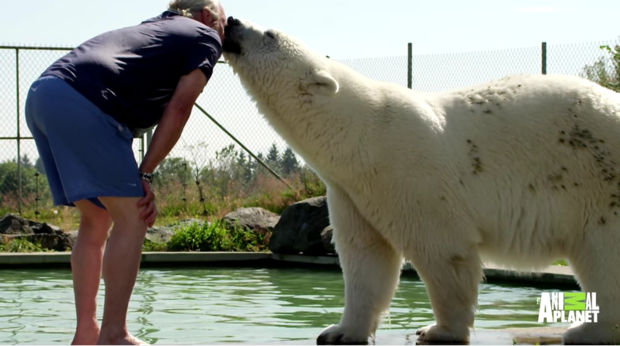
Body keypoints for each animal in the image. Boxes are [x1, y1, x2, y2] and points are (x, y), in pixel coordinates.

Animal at [220, 15, 620, 344]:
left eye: (270, 34)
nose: (233, 20)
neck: (363, 134)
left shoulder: (411, 174)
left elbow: (442, 252)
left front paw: (439, 330)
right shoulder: (351, 190)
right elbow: (365, 258)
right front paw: (340, 331)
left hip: (599, 186)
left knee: (603, 260)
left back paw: (587, 330)